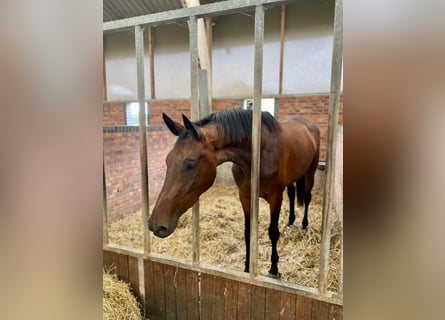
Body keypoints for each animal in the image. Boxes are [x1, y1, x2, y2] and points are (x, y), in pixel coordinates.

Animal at [149, 109, 320, 276]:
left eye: (190, 164)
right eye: (167, 160)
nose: (155, 225)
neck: (259, 154)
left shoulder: (275, 198)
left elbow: (273, 232)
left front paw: (274, 268)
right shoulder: (245, 196)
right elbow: (248, 232)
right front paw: (247, 268)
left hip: (310, 172)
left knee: (308, 197)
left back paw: (304, 224)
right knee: (291, 195)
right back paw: (290, 222)